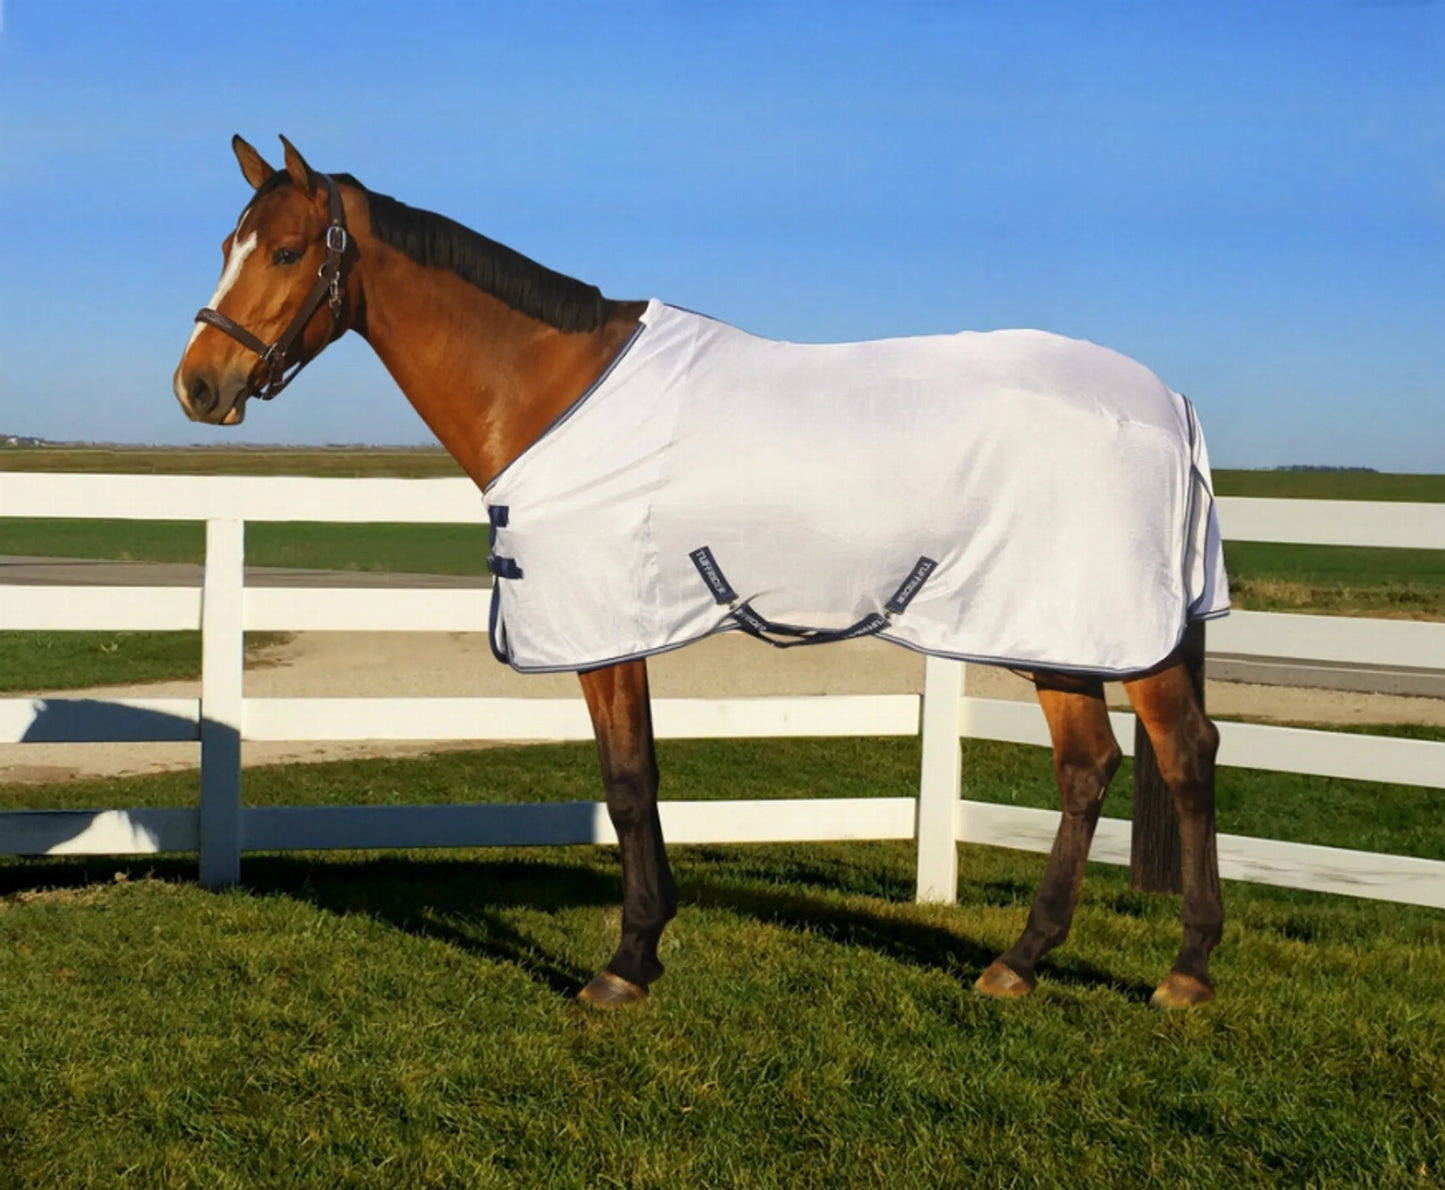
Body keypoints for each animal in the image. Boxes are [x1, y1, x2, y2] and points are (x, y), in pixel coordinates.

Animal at [174, 135, 1225, 1011]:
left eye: (286, 252)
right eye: (225, 242)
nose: (197, 385)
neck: (551, 388)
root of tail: (1171, 403)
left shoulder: (606, 627)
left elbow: (629, 779)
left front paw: (627, 963)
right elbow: (633, 774)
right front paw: (643, 948)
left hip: (1115, 633)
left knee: (1183, 755)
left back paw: (1185, 971)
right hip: (1054, 628)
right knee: (1088, 767)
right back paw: (1019, 961)